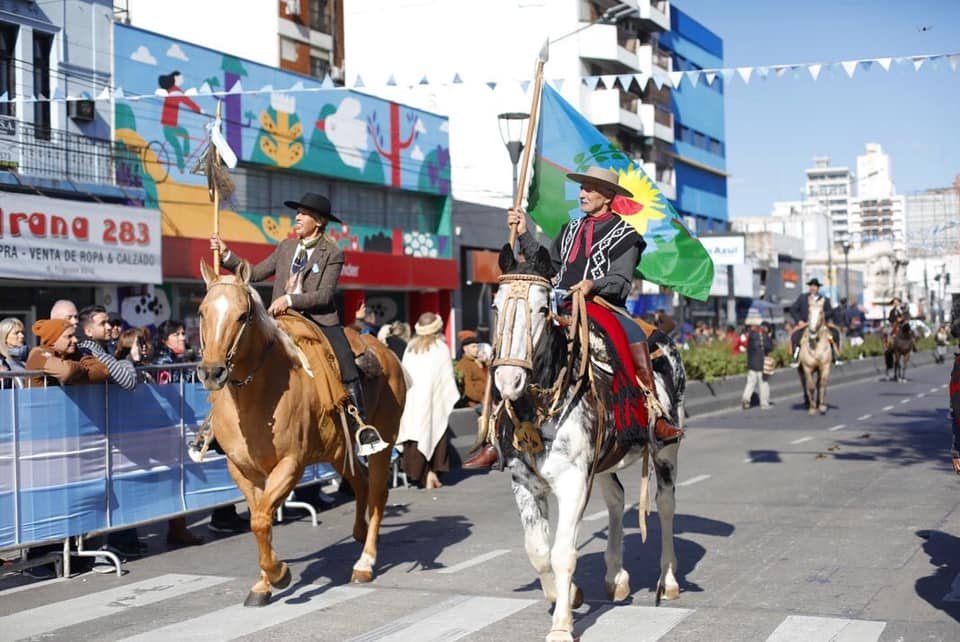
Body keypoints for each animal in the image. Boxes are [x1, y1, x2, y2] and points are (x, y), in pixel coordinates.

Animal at [195, 260, 404, 604]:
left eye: (243, 315)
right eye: (201, 312)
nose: (212, 372)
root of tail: (384, 350)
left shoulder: (290, 464)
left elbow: (261, 519)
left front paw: (278, 574)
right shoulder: (242, 469)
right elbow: (258, 519)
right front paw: (264, 583)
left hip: (383, 444)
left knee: (377, 492)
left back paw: (365, 562)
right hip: (337, 450)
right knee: (360, 483)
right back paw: (358, 535)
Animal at [492, 245, 688, 640]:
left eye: (542, 308)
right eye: (495, 305)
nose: (508, 380)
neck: (537, 411)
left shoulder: (572, 483)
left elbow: (562, 552)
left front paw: (561, 625)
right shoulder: (525, 483)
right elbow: (538, 550)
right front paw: (570, 595)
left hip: (666, 453)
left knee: (665, 506)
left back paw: (669, 580)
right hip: (604, 462)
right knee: (616, 499)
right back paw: (617, 578)